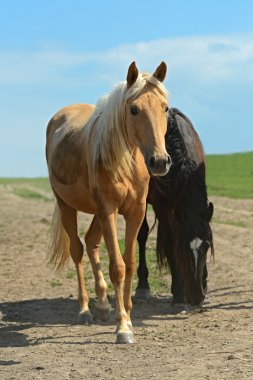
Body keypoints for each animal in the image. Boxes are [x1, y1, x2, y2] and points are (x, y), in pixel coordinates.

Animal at [46, 60, 171, 342]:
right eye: (134, 109)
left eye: (165, 108)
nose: (159, 161)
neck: (126, 162)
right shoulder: (109, 210)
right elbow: (118, 266)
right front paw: (122, 326)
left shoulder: (135, 212)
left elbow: (130, 263)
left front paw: (128, 316)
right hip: (68, 205)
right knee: (78, 250)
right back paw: (84, 309)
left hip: (96, 212)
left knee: (91, 242)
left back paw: (103, 305)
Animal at [134, 107, 213, 312]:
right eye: (182, 248)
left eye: (206, 247)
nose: (196, 297)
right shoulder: (163, 208)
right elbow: (170, 245)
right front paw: (179, 295)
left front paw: (204, 282)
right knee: (141, 235)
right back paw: (142, 287)